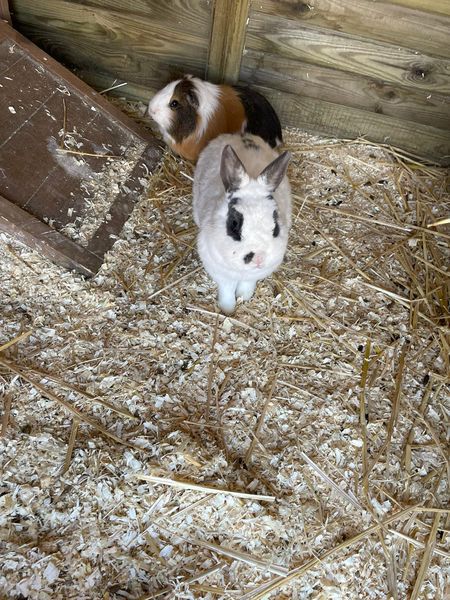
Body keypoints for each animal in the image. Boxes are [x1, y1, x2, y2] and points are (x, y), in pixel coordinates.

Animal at [193, 133, 291, 314]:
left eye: (275, 226)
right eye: (234, 224)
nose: (259, 258)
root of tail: (238, 135)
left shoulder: (253, 276)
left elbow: (247, 286)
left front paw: (244, 298)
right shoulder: (221, 274)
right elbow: (227, 291)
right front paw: (228, 309)